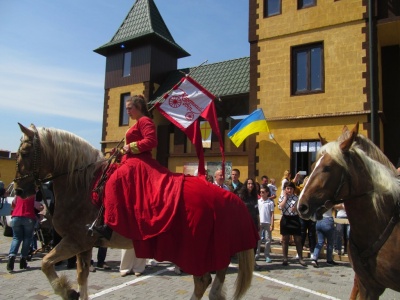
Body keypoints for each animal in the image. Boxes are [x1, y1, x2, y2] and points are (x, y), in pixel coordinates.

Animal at [14, 123, 256, 300]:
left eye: (25, 152)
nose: (18, 189)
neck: (82, 184)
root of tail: (226, 196)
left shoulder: (75, 241)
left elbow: (46, 263)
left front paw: (67, 291)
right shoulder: (84, 246)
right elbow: (82, 278)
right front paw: (76, 291)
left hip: (195, 252)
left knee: (203, 281)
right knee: (211, 285)